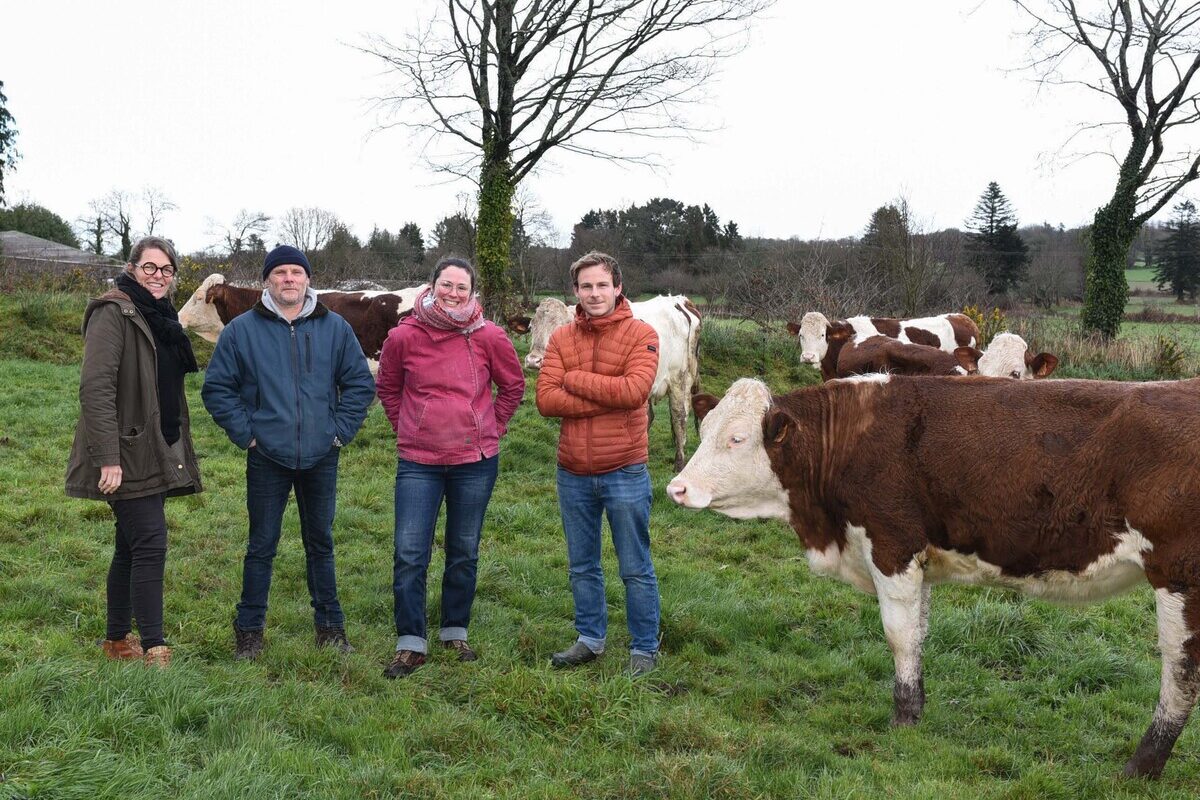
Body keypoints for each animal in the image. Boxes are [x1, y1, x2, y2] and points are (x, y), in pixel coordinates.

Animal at [516, 293, 700, 470]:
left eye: (559, 328)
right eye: (531, 327)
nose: (533, 360)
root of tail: (681, 300)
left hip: (680, 379)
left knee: (679, 416)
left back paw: (679, 463)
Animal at [672, 376, 1200, 782]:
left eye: (738, 438)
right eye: (704, 428)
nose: (677, 487)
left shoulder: (892, 545)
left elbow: (899, 635)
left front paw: (902, 721)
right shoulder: (919, 558)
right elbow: (919, 634)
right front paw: (918, 709)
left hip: (1179, 576)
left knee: (1180, 673)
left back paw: (1141, 767)